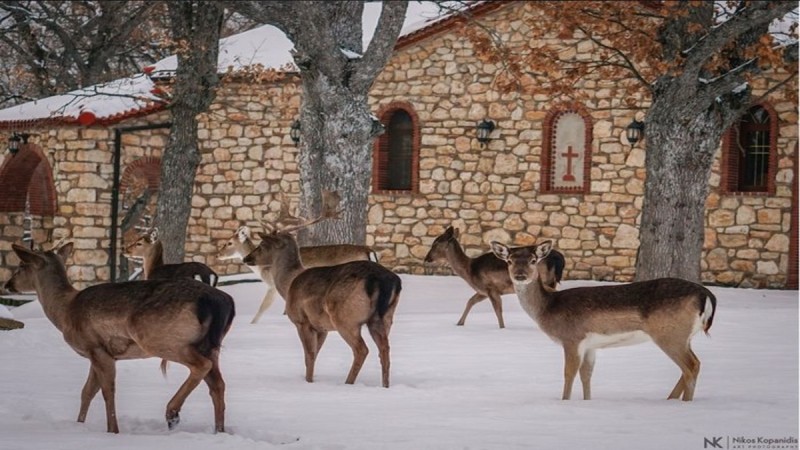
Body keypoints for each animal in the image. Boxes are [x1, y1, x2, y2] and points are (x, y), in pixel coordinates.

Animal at [3, 241, 234, 434]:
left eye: (21, 265)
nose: (8, 284)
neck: (65, 311)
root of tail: (221, 302)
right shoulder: (98, 353)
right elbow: (87, 391)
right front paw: (79, 425)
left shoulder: (96, 348)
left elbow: (107, 391)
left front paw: (112, 430)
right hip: (211, 346)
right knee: (218, 384)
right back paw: (219, 430)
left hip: (163, 339)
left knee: (201, 366)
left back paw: (172, 412)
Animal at [239, 192, 398, 386]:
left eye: (262, 246)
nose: (247, 258)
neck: (289, 283)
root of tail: (384, 280)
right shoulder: (322, 327)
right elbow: (315, 355)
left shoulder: (302, 320)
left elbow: (309, 356)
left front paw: (308, 382)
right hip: (385, 317)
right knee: (385, 350)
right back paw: (385, 386)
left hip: (346, 317)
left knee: (362, 350)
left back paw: (348, 383)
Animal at [422, 227, 564, 328]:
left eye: (436, 243)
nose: (427, 258)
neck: (469, 271)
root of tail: (559, 260)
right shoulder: (483, 291)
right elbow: (470, 301)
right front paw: (459, 323)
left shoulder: (490, 288)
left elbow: (498, 310)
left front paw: (502, 328)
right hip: (551, 282)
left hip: (545, 280)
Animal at [488, 241, 720, 402]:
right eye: (509, 260)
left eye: (533, 260)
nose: (520, 275)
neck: (549, 307)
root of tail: (706, 295)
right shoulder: (591, 345)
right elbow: (586, 374)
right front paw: (587, 401)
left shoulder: (572, 337)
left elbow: (569, 373)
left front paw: (564, 401)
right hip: (682, 336)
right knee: (691, 365)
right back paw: (670, 399)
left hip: (670, 333)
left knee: (691, 366)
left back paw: (684, 403)